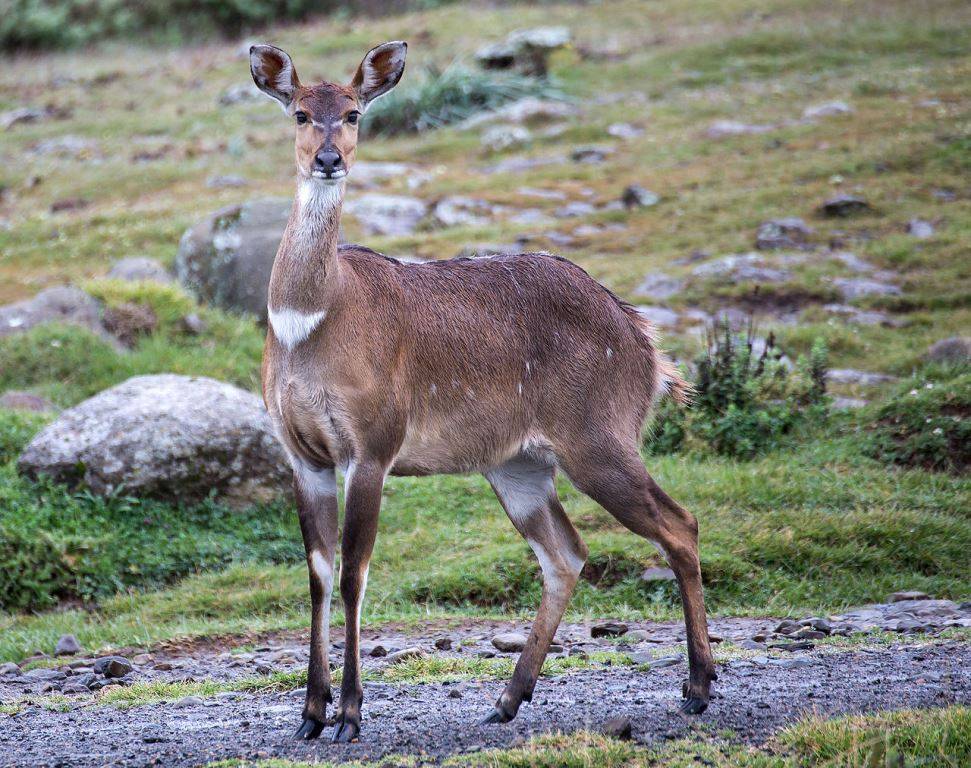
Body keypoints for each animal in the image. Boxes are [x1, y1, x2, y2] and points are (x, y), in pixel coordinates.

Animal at [251, 39, 716, 740]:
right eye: (301, 113)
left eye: (355, 113)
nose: (330, 159)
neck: (312, 318)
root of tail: (645, 342)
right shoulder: (302, 453)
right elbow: (318, 573)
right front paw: (309, 715)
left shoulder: (372, 446)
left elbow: (356, 572)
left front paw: (351, 715)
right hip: (518, 464)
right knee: (566, 552)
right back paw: (506, 699)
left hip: (599, 442)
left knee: (678, 525)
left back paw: (697, 687)